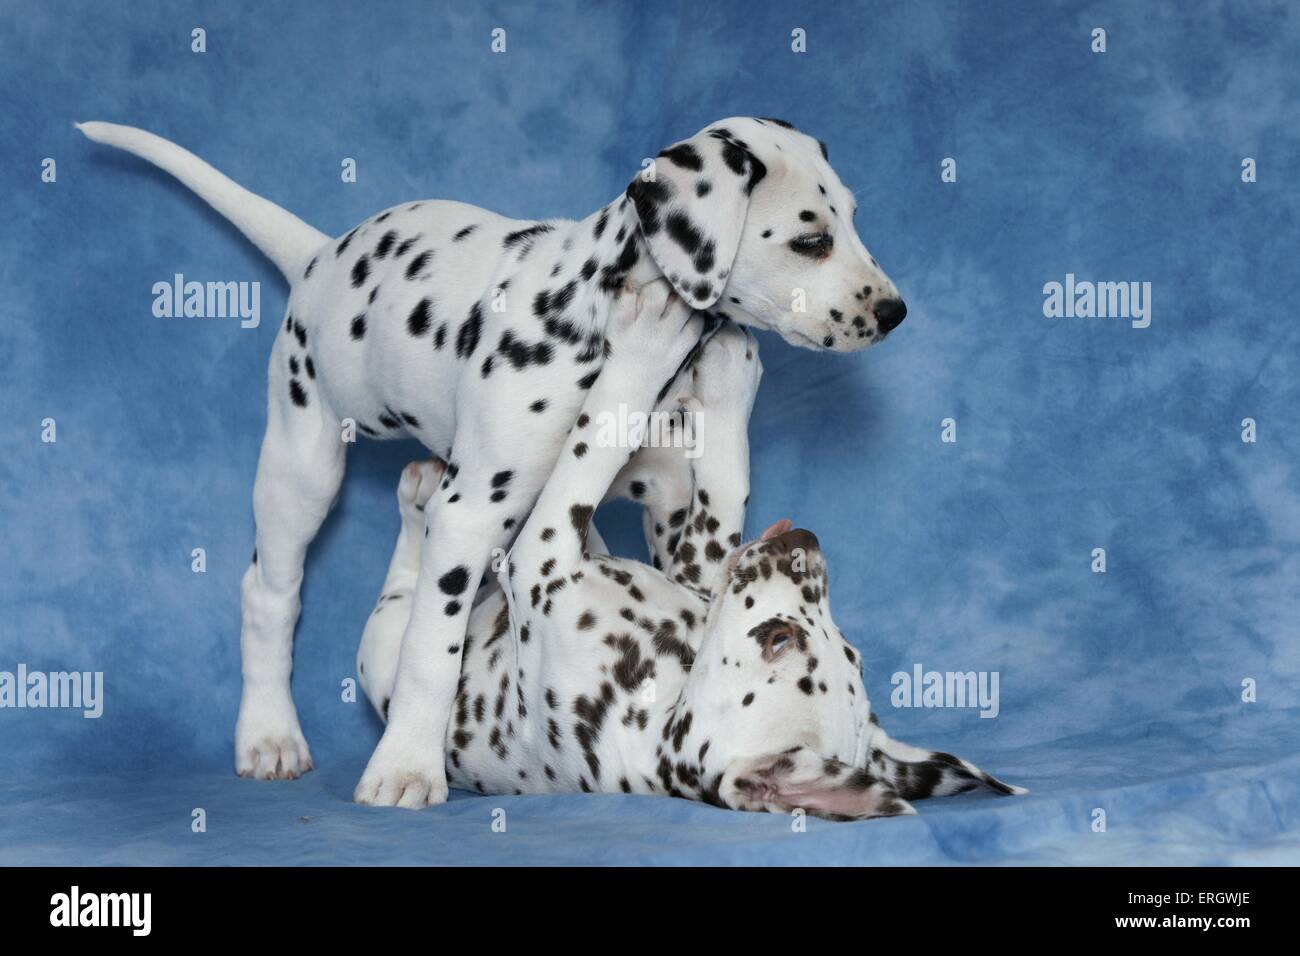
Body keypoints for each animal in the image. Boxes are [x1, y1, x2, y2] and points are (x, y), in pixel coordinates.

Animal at [81, 115, 909, 811]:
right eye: (809, 240)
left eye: (853, 218)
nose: (894, 312)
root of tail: (318, 255)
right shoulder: (473, 512)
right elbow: (430, 649)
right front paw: (406, 765)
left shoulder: (675, 522)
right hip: (300, 462)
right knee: (269, 593)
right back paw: (268, 731)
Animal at [358, 280, 1024, 816]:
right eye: (854, 655)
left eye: (779, 640)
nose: (804, 541)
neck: (666, 689)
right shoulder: (699, 564)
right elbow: (726, 482)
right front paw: (729, 375)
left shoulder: (540, 556)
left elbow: (595, 437)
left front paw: (649, 346)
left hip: (386, 637)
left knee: (412, 579)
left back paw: (419, 496)